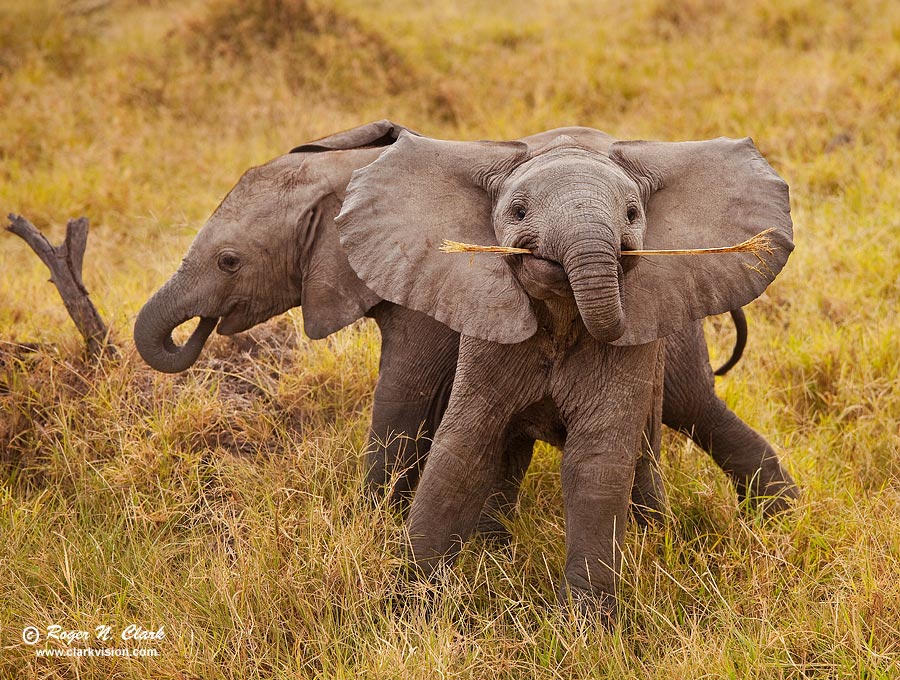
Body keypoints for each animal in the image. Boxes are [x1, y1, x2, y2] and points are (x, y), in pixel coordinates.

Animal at [133, 121, 797, 539]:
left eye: (229, 262)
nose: (198, 334)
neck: (347, 171)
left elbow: (402, 396)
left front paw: (368, 523)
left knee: (696, 409)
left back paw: (775, 524)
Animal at [334, 130, 794, 618]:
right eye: (518, 212)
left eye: (633, 213)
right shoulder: (488, 321)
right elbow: (463, 452)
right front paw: (406, 610)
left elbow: (595, 464)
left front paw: (584, 628)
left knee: (692, 411)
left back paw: (776, 518)